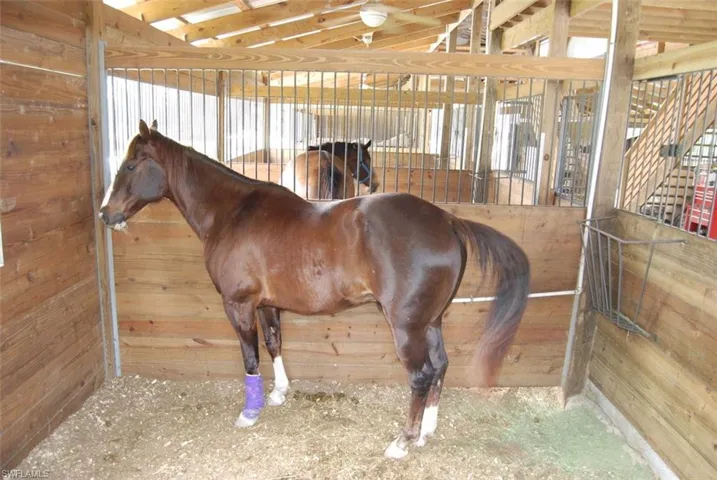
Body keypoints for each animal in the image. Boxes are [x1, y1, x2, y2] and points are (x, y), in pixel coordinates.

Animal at [99, 120, 530, 460]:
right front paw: (278, 393)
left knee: (422, 375)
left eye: (131, 164)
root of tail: (447, 220)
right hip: (432, 321)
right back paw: (426, 432)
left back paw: (403, 441)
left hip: (407, 326)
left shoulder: (238, 304)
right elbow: (273, 343)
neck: (233, 212)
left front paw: (250, 412)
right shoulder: (266, 304)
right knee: (440, 367)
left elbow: (250, 356)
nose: (106, 214)